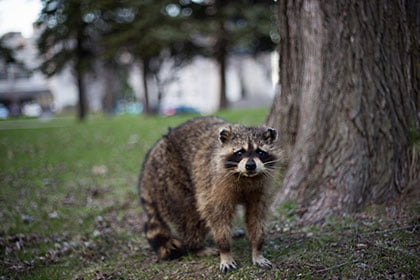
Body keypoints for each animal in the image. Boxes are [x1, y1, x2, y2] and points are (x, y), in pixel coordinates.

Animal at [139, 116, 282, 272]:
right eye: (239, 152)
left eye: (260, 152)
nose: (250, 166)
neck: (245, 177)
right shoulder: (214, 184)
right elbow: (217, 214)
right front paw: (225, 251)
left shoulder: (260, 188)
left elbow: (257, 216)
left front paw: (257, 249)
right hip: (170, 177)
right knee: (190, 215)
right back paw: (196, 247)